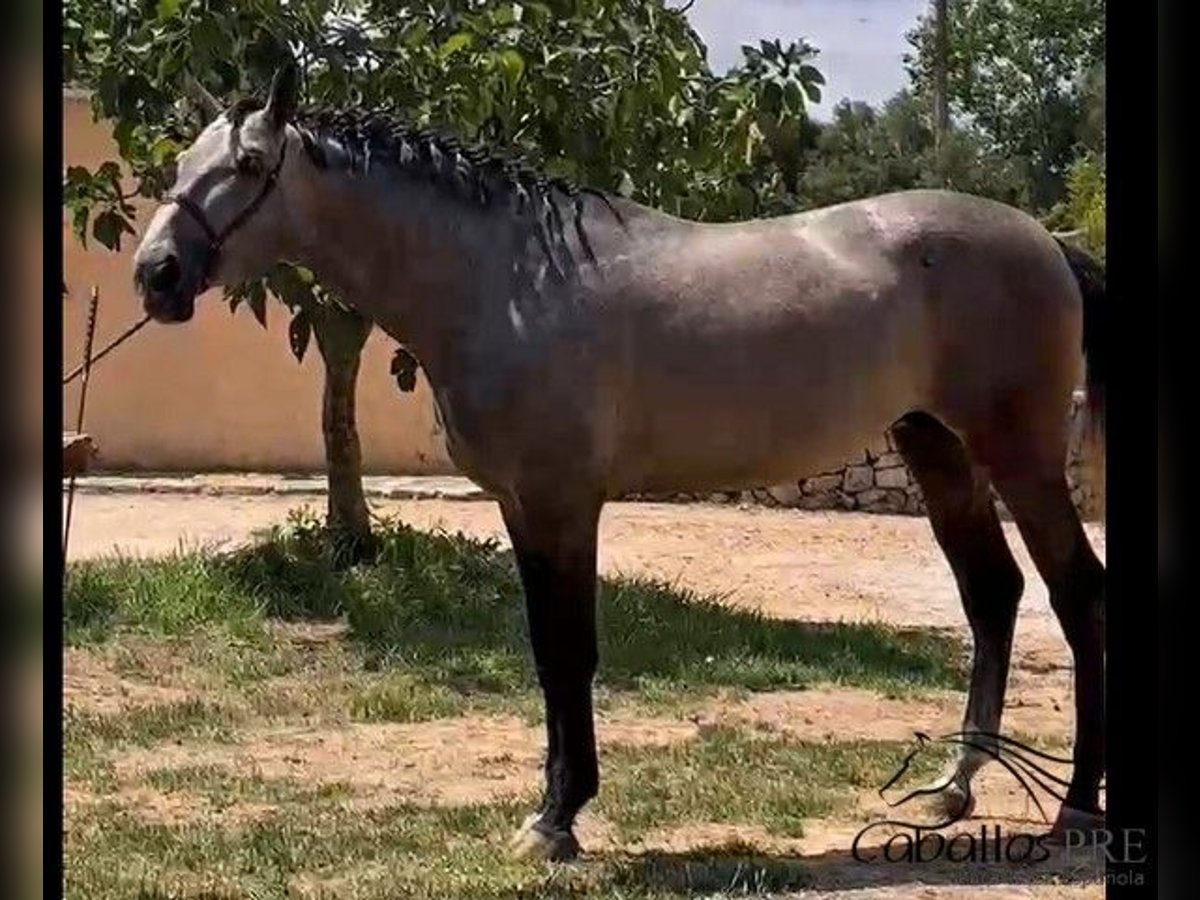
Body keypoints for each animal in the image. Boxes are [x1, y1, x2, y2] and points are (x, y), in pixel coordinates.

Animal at [132, 65, 1105, 860]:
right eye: (183, 161)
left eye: (249, 166)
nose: (157, 275)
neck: (508, 283)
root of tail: (1046, 241)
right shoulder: (522, 506)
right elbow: (544, 650)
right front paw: (551, 811)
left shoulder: (563, 504)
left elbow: (571, 651)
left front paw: (557, 821)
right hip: (938, 450)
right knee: (992, 595)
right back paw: (954, 786)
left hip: (1017, 456)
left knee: (1075, 592)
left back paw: (1078, 808)